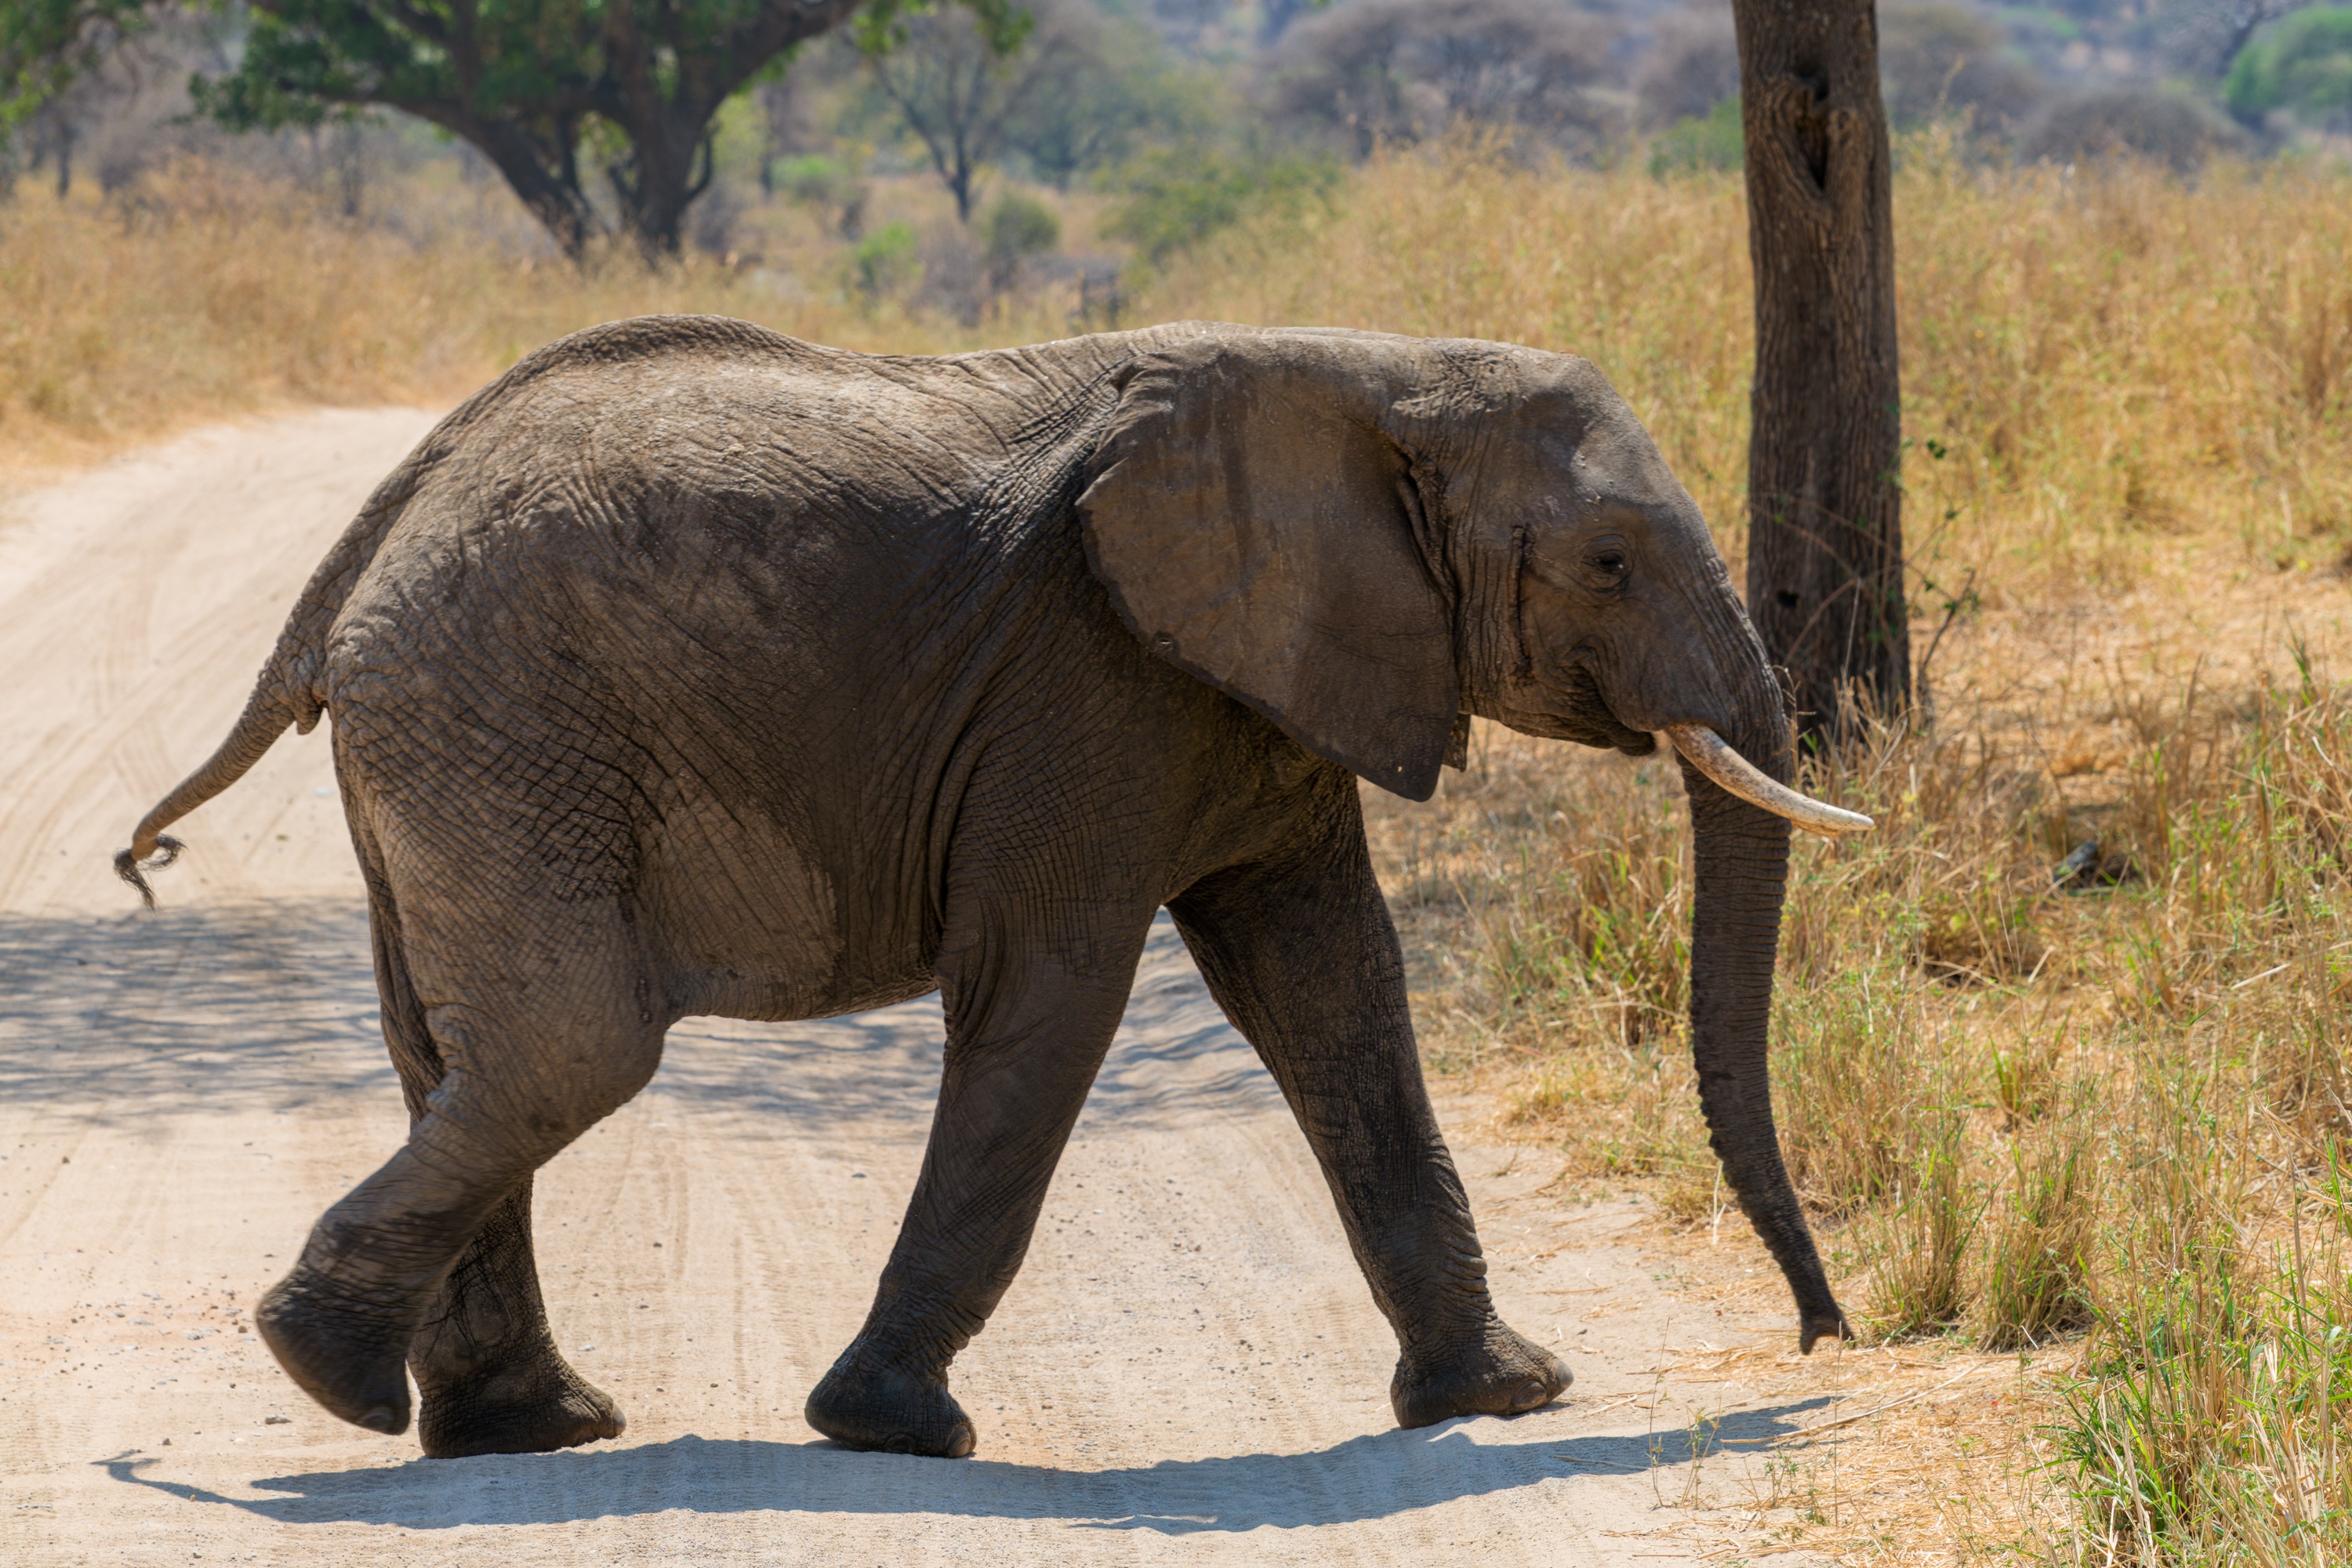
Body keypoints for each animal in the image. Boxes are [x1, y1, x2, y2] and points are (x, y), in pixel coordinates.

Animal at [117, 315, 1869, 1462]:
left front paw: (1504, 1396)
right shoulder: (1088, 686)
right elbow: (1056, 992)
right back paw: (337, 1378)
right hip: (504, 722)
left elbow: (1332, 986)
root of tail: (374, 537)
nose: (1824, 1335)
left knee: (463, 1057)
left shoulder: (1261, 683)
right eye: (1610, 566)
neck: (1370, 365)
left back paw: (515, 1429)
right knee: (571, 1048)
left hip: (450, 741)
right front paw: (890, 1429)